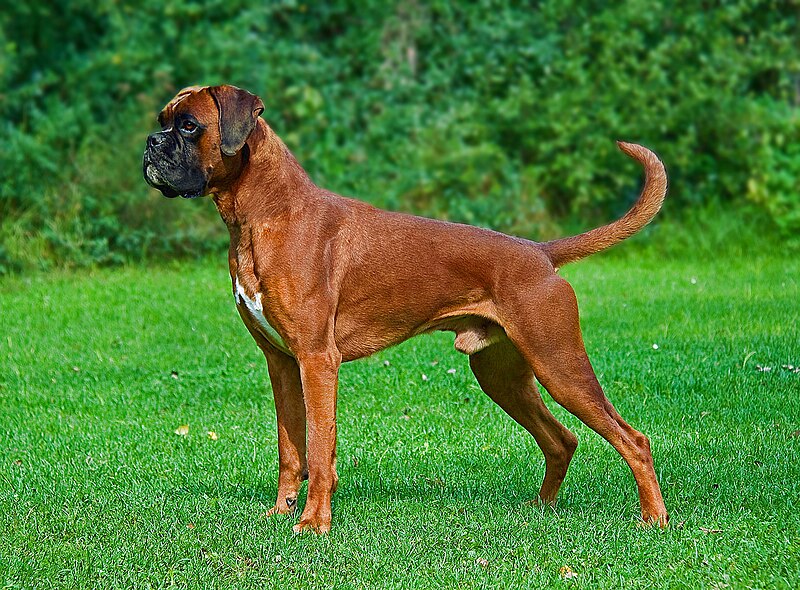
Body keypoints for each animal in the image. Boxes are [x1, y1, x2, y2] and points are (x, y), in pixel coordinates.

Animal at [142, 85, 668, 536]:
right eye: (164, 120)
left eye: (188, 125)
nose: (151, 143)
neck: (263, 214)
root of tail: (540, 253)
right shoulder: (282, 364)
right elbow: (290, 448)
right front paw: (281, 512)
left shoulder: (317, 360)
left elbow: (319, 447)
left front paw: (314, 523)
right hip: (503, 376)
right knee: (562, 439)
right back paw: (541, 508)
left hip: (559, 365)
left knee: (633, 439)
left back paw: (654, 519)